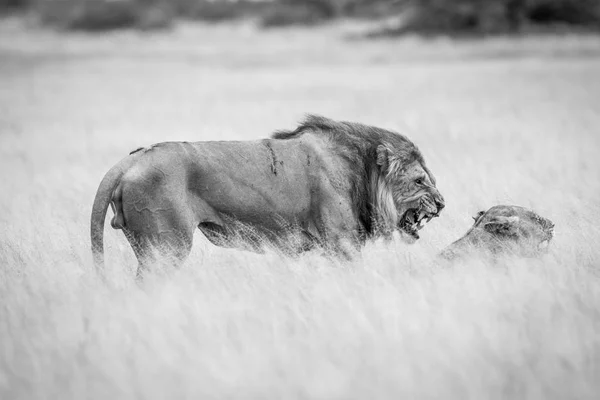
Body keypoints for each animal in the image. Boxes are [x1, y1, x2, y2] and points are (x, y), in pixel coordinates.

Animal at [90, 115, 446, 276]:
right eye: (419, 181)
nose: (442, 204)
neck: (362, 172)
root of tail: (132, 159)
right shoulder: (341, 245)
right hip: (165, 248)